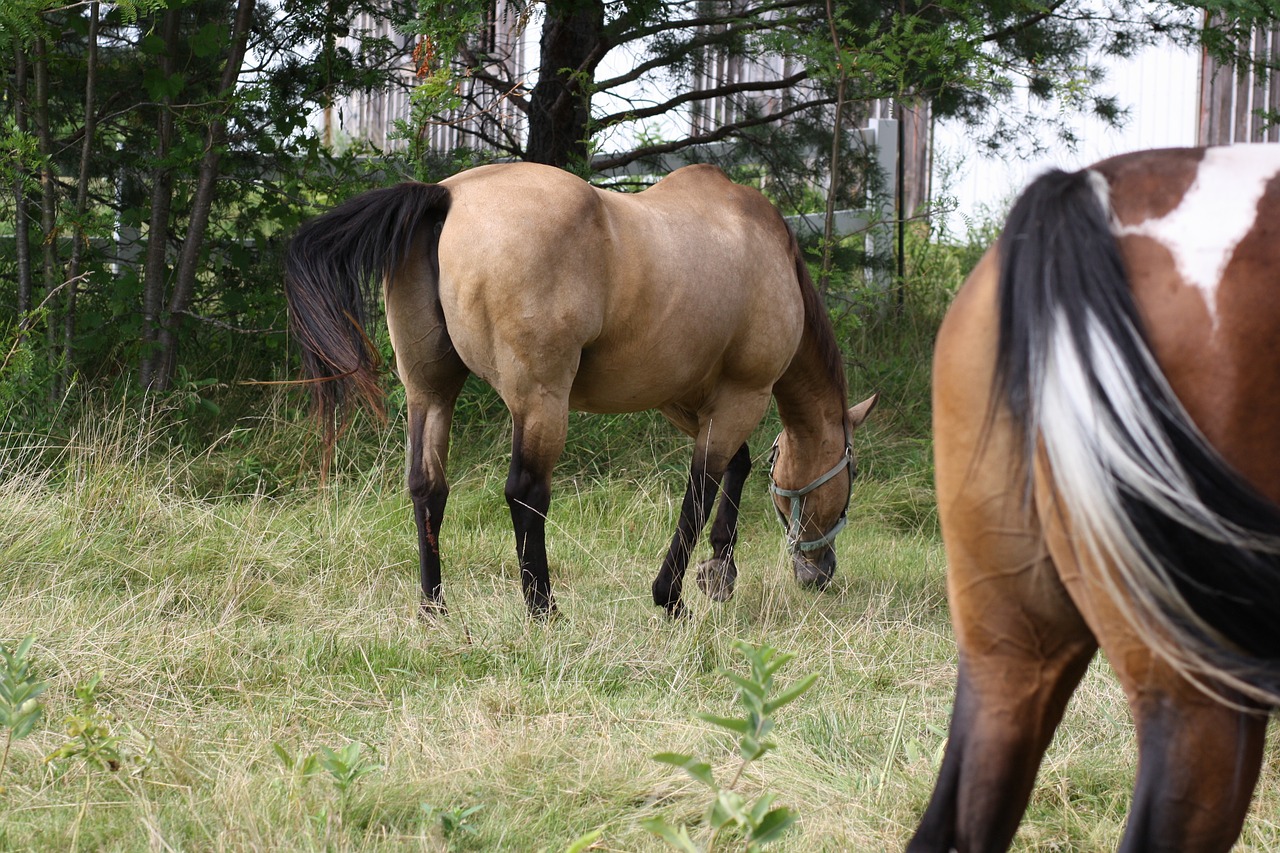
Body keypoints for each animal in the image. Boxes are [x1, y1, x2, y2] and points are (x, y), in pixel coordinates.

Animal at [284, 162, 875, 617]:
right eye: (850, 476)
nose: (820, 572)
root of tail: (447, 197)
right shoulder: (742, 394)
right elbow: (702, 488)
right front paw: (671, 596)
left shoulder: (683, 396)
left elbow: (737, 465)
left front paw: (719, 571)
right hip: (541, 400)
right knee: (526, 491)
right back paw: (543, 609)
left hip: (430, 393)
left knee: (427, 487)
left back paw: (435, 608)